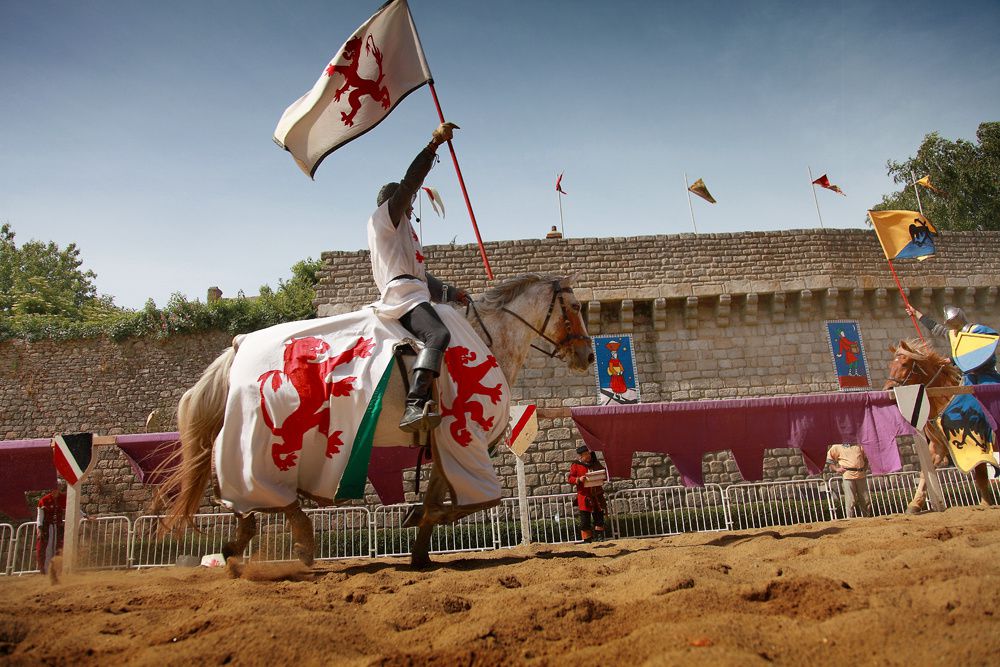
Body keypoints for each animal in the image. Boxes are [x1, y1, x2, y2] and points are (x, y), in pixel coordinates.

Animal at [258, 336, 376, 472]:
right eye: (307, 341)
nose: (323, 343)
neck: (299, 362)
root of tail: (281, 429)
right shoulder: (321, 369)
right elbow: (339, 357)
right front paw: (360, 347)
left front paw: (342, 387)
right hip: (294, 440)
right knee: (276, 446)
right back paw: (282, 462)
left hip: (310, 423)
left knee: (323, 424)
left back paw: (331, 442)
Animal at [884, 340, 992, 512]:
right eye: (890, 365)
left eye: (905, 364)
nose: (887, 390)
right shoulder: (937, 445)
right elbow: (925, 471)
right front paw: (915, 503)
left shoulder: (976, 442)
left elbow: (980, 471)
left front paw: (985, 503)